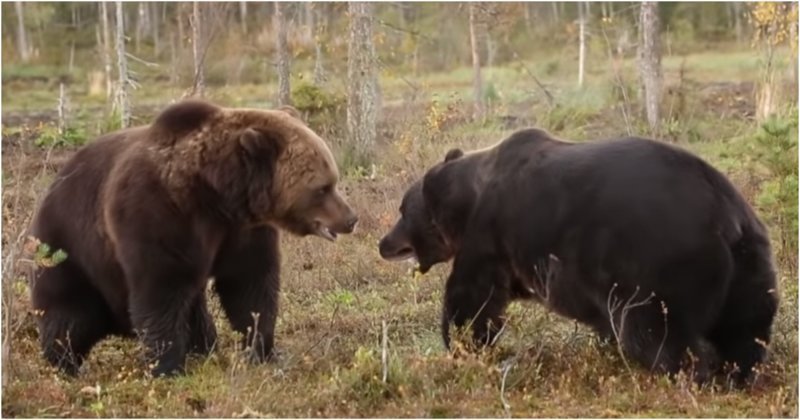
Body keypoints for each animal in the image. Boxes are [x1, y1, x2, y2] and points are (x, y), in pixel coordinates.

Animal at [29, 99, 358, 378]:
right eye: (322, 188)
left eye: (333, 180)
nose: (351, 219)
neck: (215, 193)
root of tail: (54, 182)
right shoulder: (156, 214)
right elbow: (160, 290)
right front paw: (167, 367)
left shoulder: (240, 231)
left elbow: (250, 286)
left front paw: (261, 349)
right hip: (70, 247)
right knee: (71, 315)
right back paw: (65, 364)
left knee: (194, 307)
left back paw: (204, 348)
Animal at [378, 129, 780, 388]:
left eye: (402, 210)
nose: (384, 243)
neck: (465, 202)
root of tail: (725, 215)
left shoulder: (490, 236)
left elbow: (472, 298)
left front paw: (463, 346)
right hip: (750, 262)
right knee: (745, 328)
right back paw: (737, 373)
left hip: (662, 263)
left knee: (657, 331)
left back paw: (686, 374)